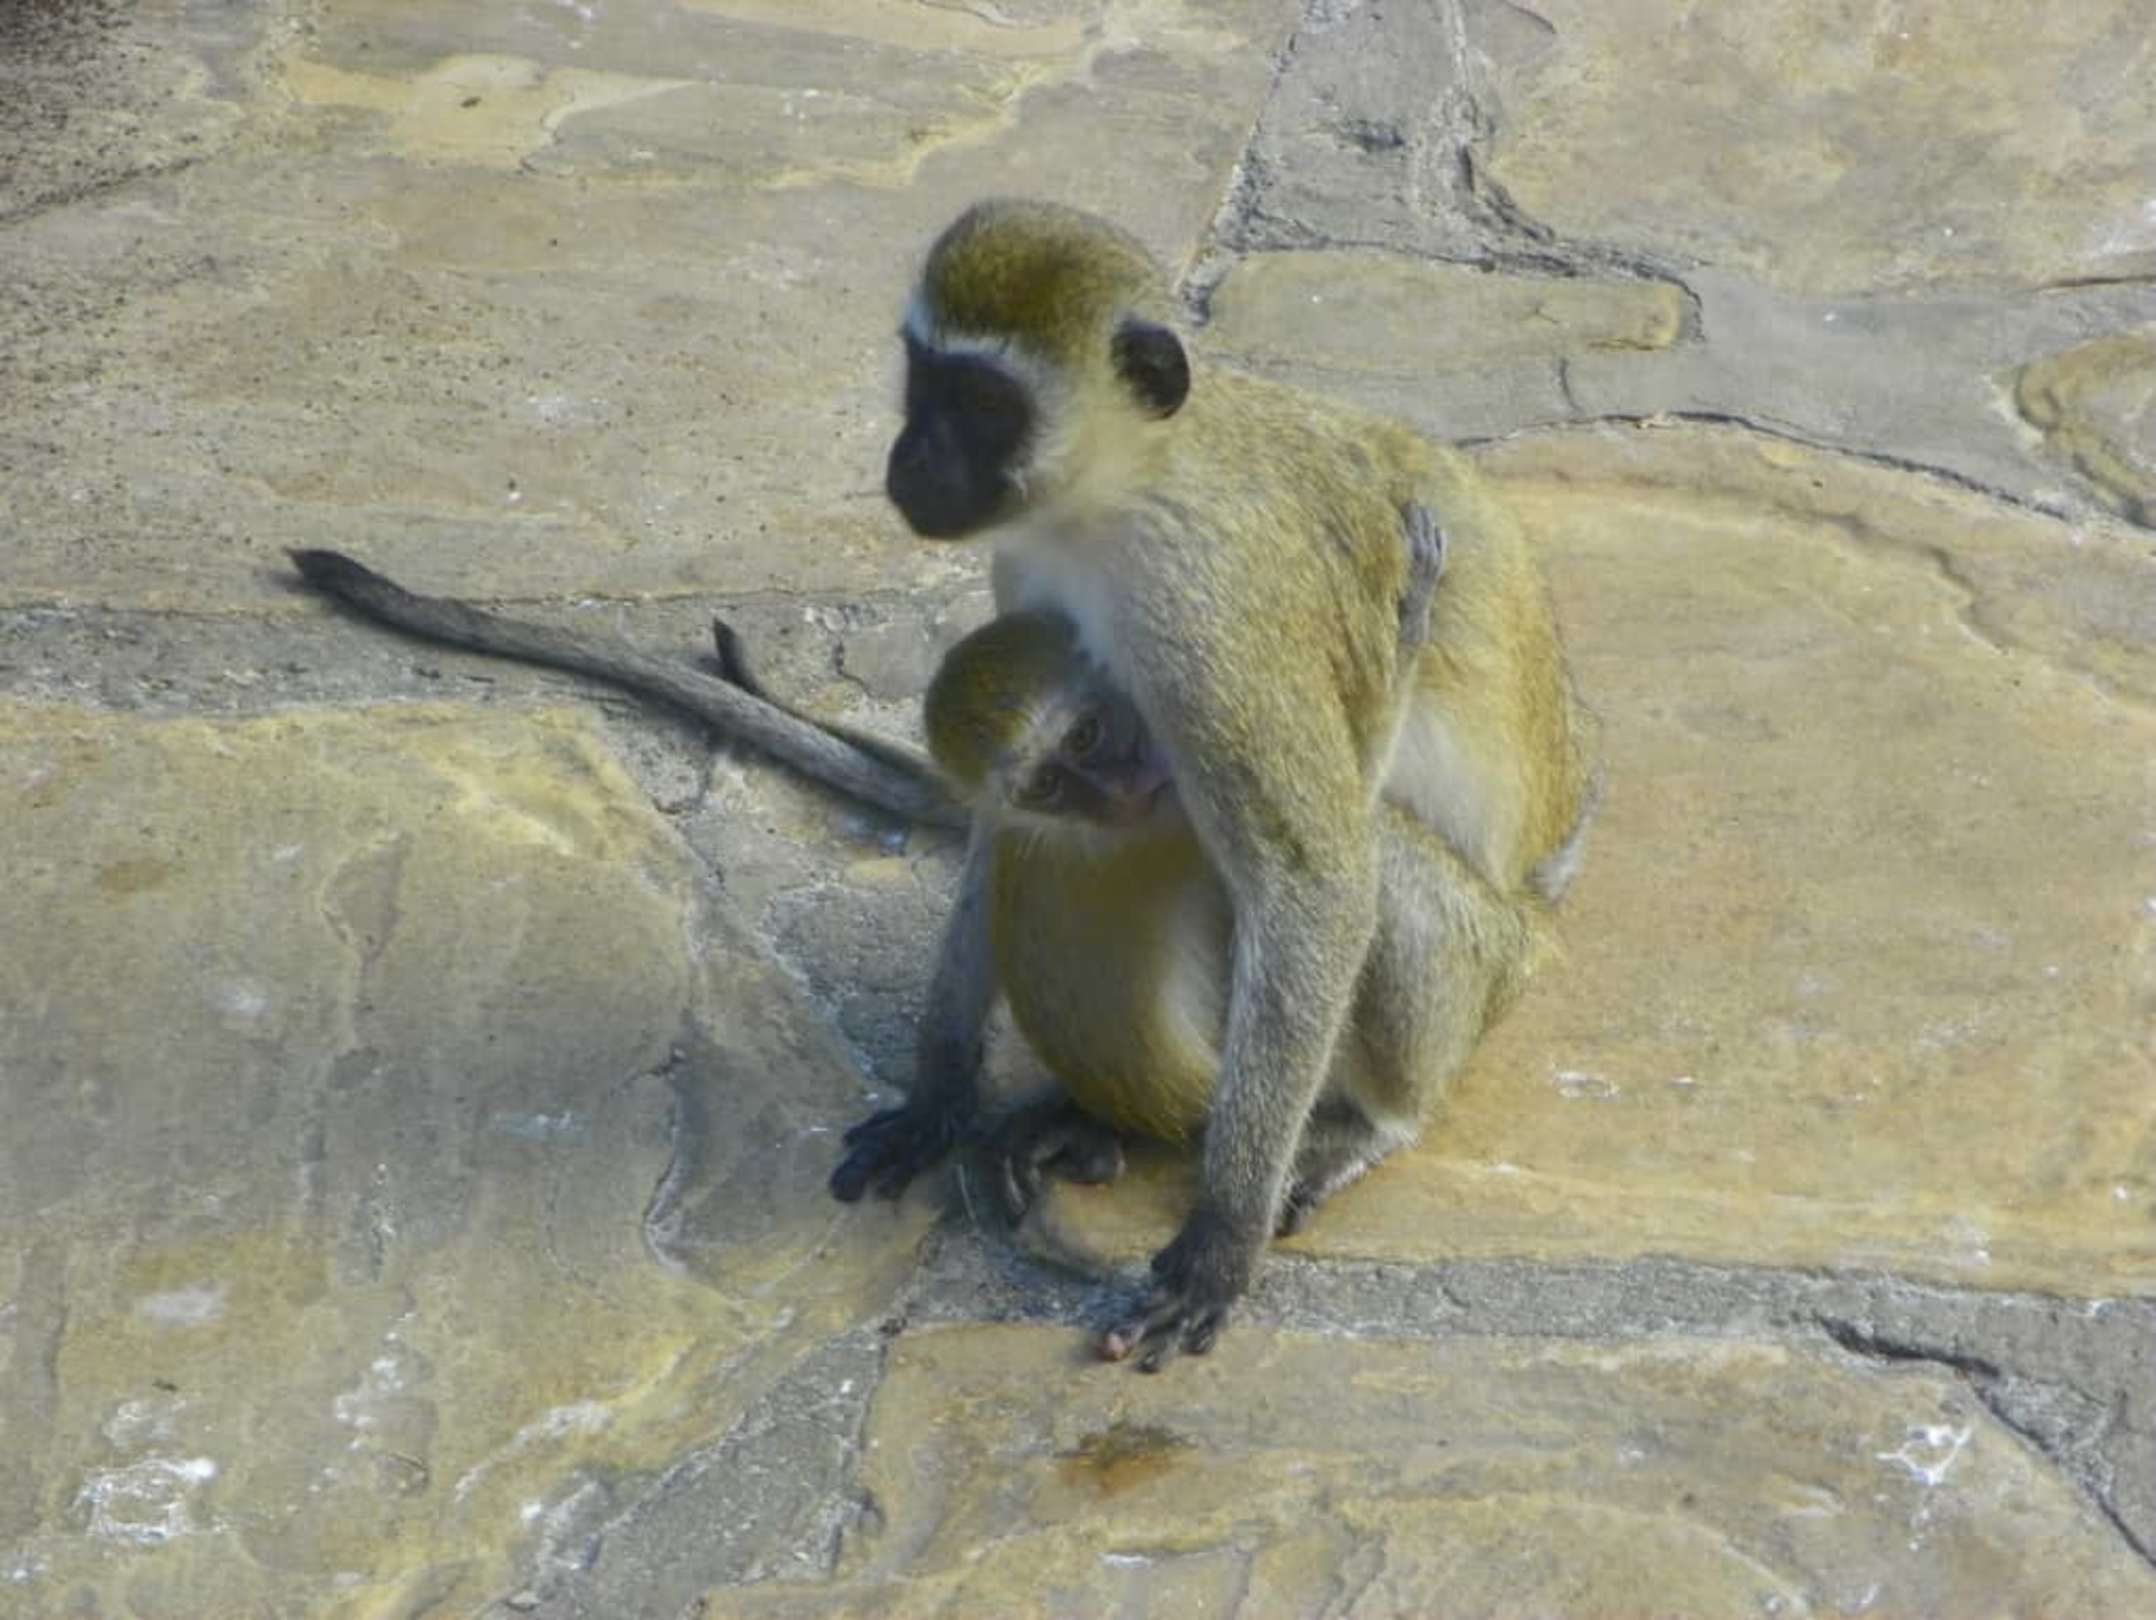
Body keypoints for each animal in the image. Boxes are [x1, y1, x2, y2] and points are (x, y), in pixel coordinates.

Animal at [834, 198, 1597, 1368]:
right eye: (922, 377)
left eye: (983, 403)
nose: (911, 453)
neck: (1123, 494)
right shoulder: (1027, 581)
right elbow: (995, 824)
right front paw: (938, 1089)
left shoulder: (1206, 618)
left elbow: (1314, 883)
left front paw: (1221, 1235)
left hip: (1495, 964)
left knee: (1372, 861)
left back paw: (1370, 1120)